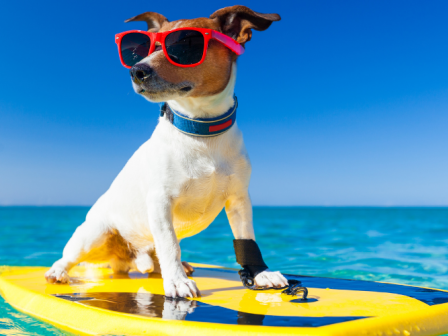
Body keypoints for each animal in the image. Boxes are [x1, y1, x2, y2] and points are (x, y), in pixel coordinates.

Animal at [45, 5, 288, 298]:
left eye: (184, 45)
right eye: (142, 49)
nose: (137, 70)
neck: (200, 131)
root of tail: (127, 258)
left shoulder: (239, 199)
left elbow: (246, 239)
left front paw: (260, 274)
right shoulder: (160, 201)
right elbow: (170, 243)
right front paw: (177, 282)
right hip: (94, 235)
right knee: (69, 256)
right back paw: (58, 271)